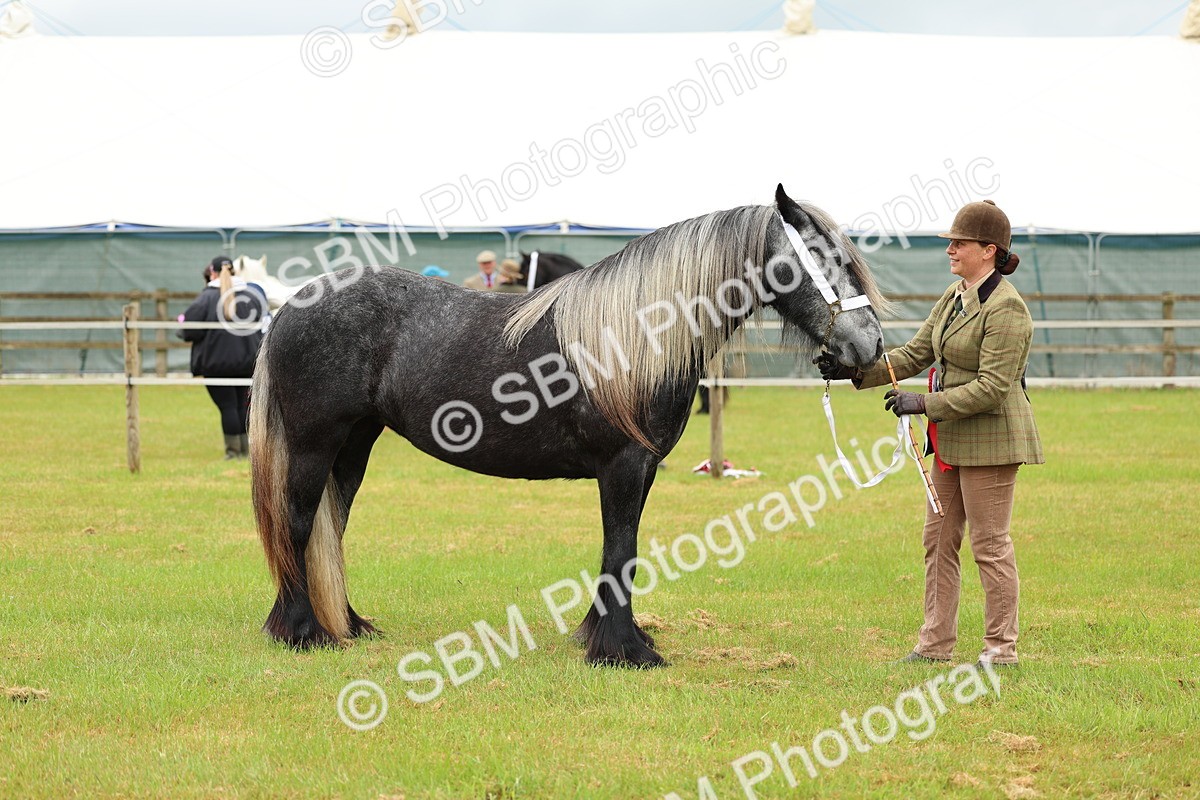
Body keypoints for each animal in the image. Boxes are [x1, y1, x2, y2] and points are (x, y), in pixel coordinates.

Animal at [250, 184, 887, 668]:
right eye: (823, 258)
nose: (869, 347)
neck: (635, 335)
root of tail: (294, 304)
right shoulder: (623, 467)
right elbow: (622, 547)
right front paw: (625, 652)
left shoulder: (641, 470)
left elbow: (618, 549)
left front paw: (605, 636)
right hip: (314, 443)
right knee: (299, 521)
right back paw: (302, 631)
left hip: (354, 444)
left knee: (332, 522)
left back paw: (346, 623)